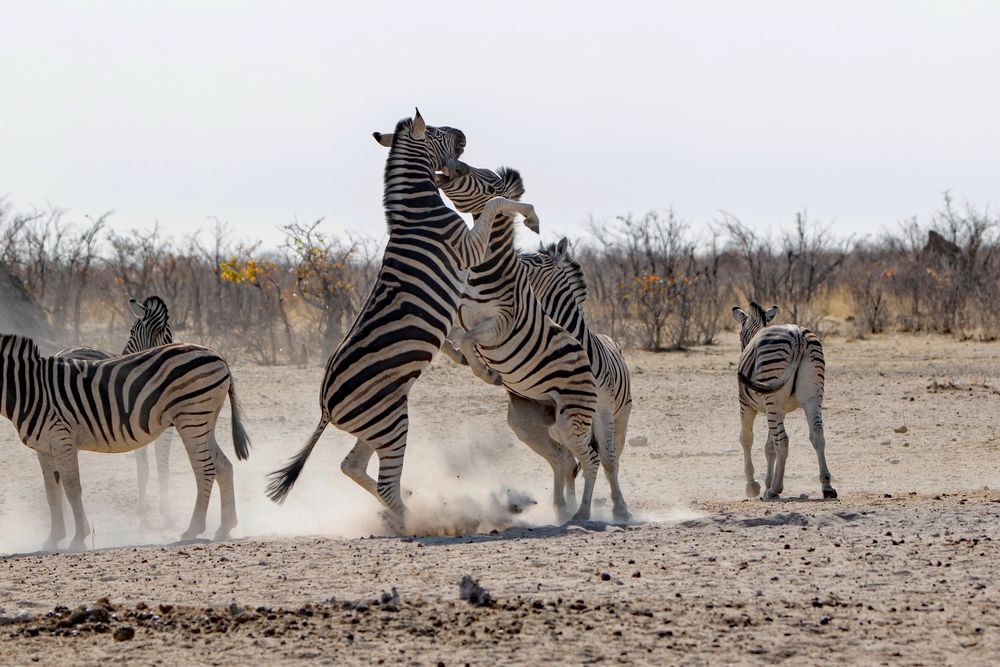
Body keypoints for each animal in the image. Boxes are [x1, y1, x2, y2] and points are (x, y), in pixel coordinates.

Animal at [0, 336, 250, 552]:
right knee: (224, 466)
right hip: (204, 420)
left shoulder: (62, 438)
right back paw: (225, 526)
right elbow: (52, 494)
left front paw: (78, 538)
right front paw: (53, 539)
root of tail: (216, 354)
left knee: (205, 470)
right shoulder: (44, 448)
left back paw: (193, 529)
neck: (27, 389)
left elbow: (72, 488)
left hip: (192, 416)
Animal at [56, 296, 176, 520]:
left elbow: (163, 469)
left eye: (131, 332)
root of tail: (62, 351)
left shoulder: (167, 430)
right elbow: (144, 470)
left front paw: (164, 511)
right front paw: (143, 510)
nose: (121, 357)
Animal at [262, 109, 536, 528]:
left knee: (351, 466)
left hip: (379, 420)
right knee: (383, 481)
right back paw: (420, 522)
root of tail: (325, 406)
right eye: (438, 131)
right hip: (392, 423)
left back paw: (404, 507)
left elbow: (460, 336)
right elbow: (497, 204)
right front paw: (532, 216)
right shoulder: (467, 248)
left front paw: (474, 364)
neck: (420, 213)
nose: (463, 132)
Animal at [436, 160, 628, 520]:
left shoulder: (600, 407)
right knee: (564, 458)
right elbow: (456, 337)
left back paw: (603, 510)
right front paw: (462, 357)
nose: (514, 259)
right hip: (529, 423)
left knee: (604, 459)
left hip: (610, 415)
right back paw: (565, 508)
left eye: (537, 260)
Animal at [728, 302, 836, 500]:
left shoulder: (745, 404)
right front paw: (766, 483)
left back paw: (775, 489)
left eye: (740, 336)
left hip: (774, 398)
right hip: (811, 397)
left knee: (784, 440)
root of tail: (798, 336)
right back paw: (827, 486)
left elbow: (746, 439)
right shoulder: (780, 410)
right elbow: (770, 446)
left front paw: (753, 485)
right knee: (817, 435)